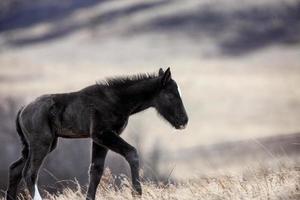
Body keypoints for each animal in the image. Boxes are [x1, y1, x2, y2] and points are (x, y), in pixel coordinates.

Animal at [5, 67, 188, 200]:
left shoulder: (100, 140)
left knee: (15, 169)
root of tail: (22, 109)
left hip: (39, 145)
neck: (116, 100)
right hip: (41, 143)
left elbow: (96, 170)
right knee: (29, 172)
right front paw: (137, 193)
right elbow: (132, 153)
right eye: (171, 96)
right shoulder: (102, 134)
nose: (184, 121)